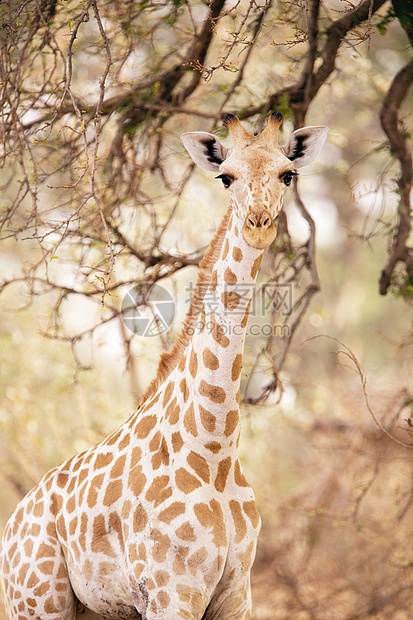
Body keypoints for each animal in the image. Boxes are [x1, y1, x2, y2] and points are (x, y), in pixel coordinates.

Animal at [0, 111, 328, 620]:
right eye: (225, 177)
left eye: (287, 174)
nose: (258, 223)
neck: (213, 450)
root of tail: (11, 525)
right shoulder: (172, 594)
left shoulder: (237, 596)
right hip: (36, 602)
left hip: (91, 610)